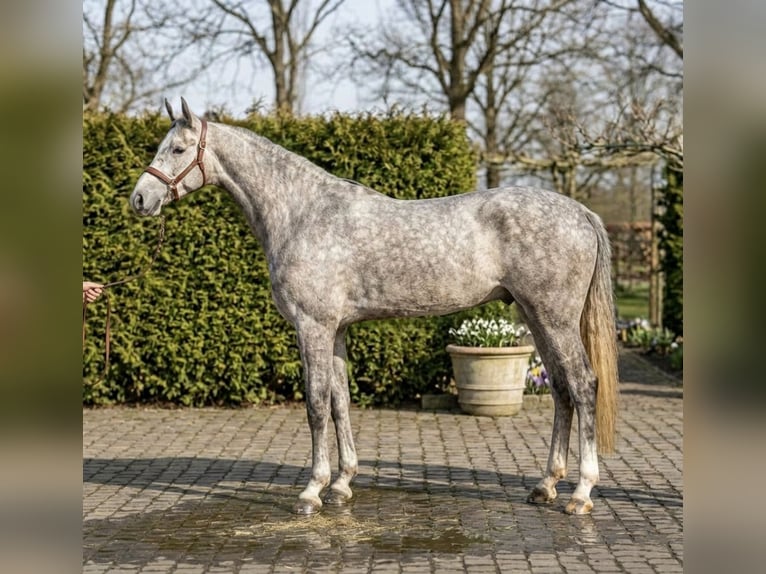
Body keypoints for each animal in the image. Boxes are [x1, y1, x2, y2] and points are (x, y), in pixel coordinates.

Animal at [130, 98, 618, 516]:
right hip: (536, 317)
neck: (302, 213)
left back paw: (580, 493)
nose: (140, 199)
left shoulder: (312, 326)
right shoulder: (336, 330)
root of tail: (580, 212)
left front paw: (311, 491)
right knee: (561, 389)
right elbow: (341, 401)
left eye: (177, 148)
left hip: (555, 319)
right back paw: (546, 485)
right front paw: (342, 484)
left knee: (583, 384)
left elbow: (315, 404)